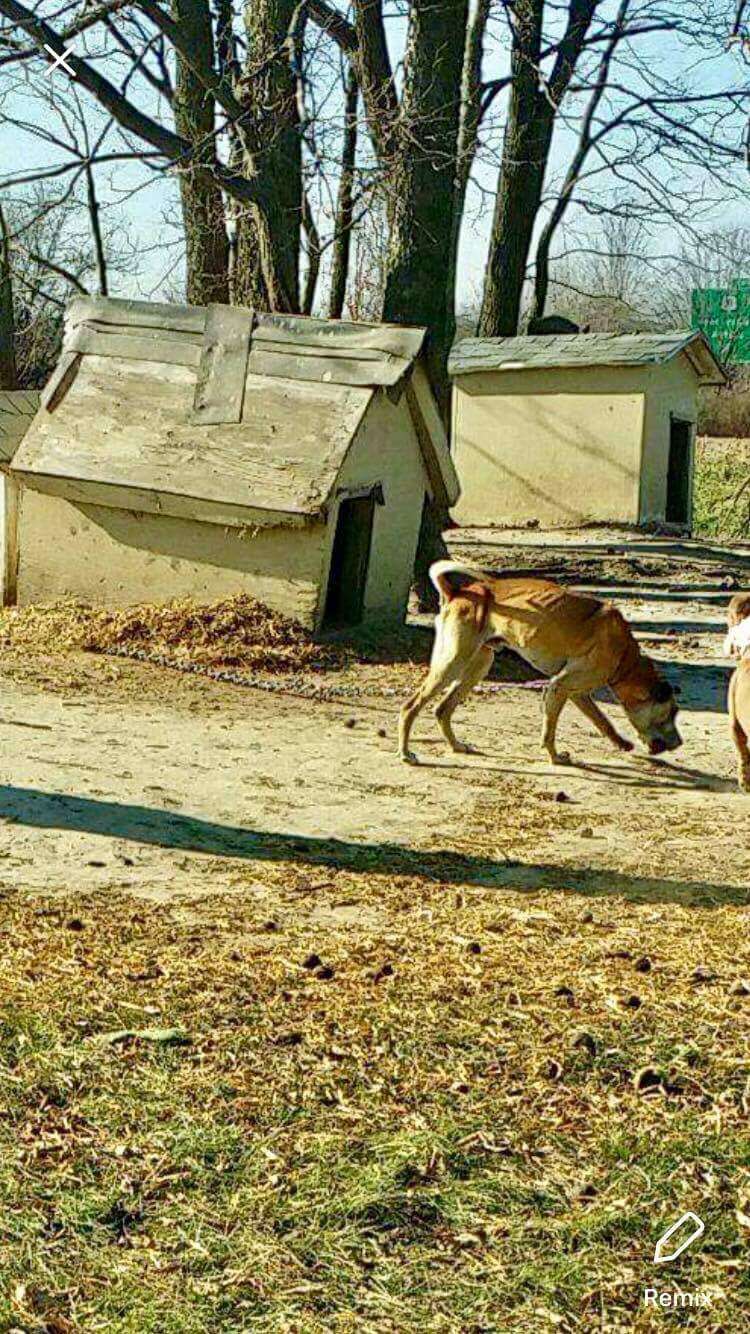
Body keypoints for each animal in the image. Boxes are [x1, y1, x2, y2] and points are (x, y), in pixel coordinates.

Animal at [400, 562, 680, 768]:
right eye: (671, 713)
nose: (679, 743)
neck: (625, 657)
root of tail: (458, 592)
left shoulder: (577, 693)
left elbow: (603, 721)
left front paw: (620, 742)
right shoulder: (558, 687)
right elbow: (550, 732)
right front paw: (555, 757)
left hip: (477, 666)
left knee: (442, 709)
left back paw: (456, 746)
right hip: (451, 664)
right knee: (410, 707)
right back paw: (405, 753)